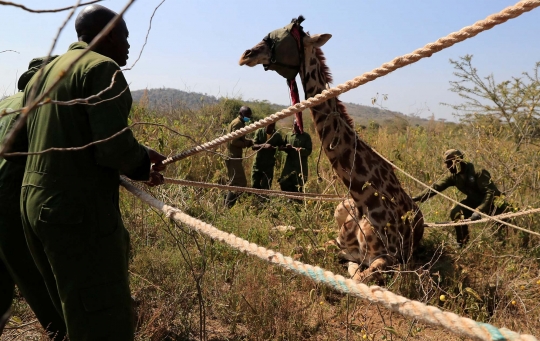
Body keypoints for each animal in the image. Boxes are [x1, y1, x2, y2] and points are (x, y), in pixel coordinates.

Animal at [238, 16, 424, 282]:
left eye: (282, 36)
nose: (246, 55)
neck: (362, 198)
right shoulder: (339, 244)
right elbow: (301, 249)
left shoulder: (388, 259)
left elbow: (357, 277)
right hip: (338, 208)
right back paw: (280, 226)